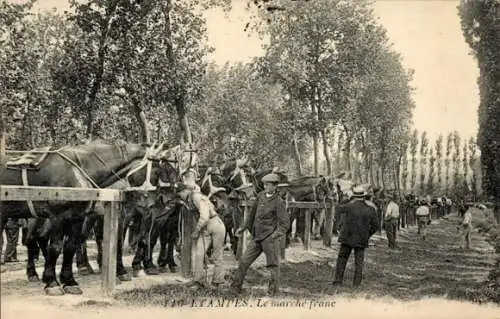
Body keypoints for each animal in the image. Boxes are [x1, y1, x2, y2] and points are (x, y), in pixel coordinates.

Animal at [0, 141, 168, 296]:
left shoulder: (77, 217)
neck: (77, 171)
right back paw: (34, 273)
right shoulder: (58, 217)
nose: (154, 203)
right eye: (156, 171)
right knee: (32, 240)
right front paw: (53, 283)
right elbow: (55, 247)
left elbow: (70, 246)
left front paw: (68, 281)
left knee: (38, 239)